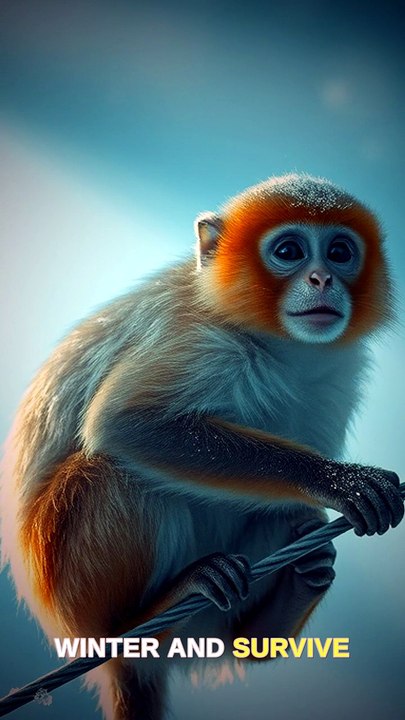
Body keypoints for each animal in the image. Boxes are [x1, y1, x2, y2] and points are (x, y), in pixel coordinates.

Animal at [0, 172, 403, 720]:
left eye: (340, 252)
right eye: (290, 250)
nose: (323, 279)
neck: (279, 348)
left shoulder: (339, 374)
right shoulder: (202, 341)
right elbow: (124, 422)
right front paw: (339, 481)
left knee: (282, 521)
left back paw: (286, 602)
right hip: (72, 586)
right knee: (113, 472)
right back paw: (150, 618)